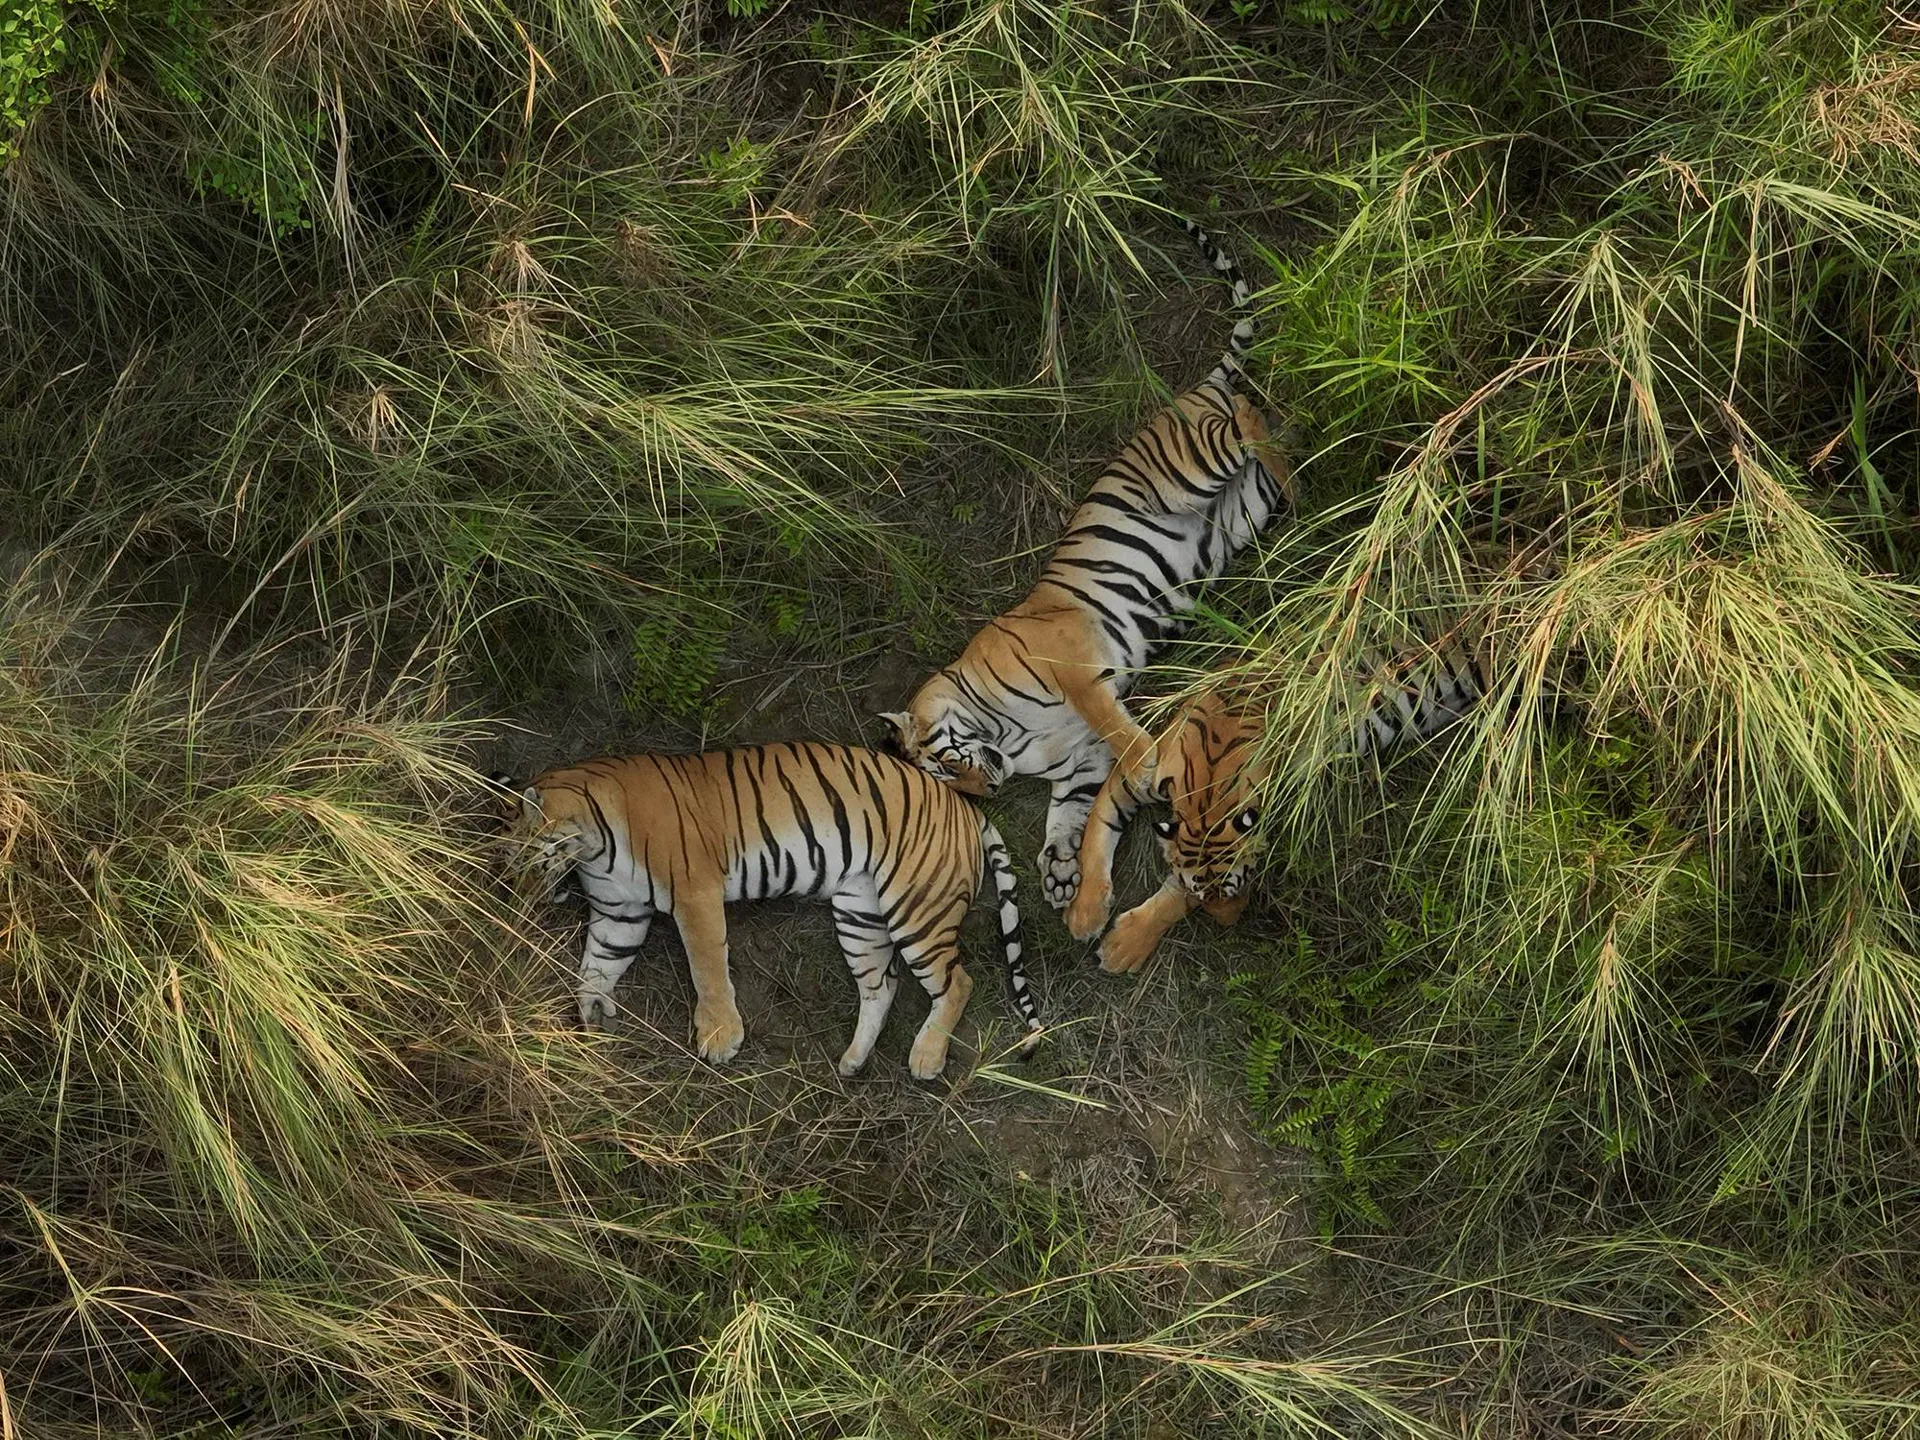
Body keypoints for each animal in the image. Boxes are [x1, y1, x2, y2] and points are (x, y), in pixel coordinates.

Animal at [497, 743, 1043, 1080]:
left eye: (521, 859)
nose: (517, 894)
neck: (591, 845)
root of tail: (963, 803)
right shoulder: (619, 912)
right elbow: (596, 966)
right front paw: (591, 1014)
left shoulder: (694, 893)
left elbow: (707, 969)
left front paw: (720, 1037)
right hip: (859, 912)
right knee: (881, 985)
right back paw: (852, 1060)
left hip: (916, 906)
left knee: (958, 982)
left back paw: (926, 1057)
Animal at [880, 218, 1291, 910]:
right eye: (951, 785)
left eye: (943, 766)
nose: (988, 792)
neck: (1005, 736)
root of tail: (1192, 389)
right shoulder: (1079, 760)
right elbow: (1068, 810)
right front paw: (1059, 871)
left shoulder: (1078, 668)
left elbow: (1123, 734)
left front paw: (1150, 767)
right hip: (1244, 511)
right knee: (1273, 457)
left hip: (1194, 467)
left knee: (1257, 419)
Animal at [1065, 635, 1496, 972]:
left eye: (1242, 883)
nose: (1230, 925)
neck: (1208, 795)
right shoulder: (1139, 774)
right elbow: (1096, 832)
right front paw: (1085, 913)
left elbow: (1173, 894)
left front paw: (1124, 946)